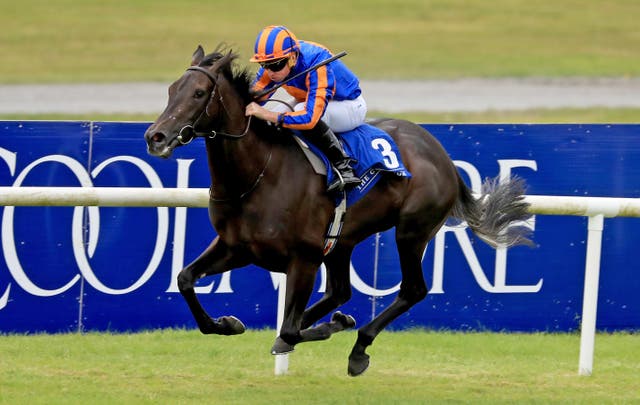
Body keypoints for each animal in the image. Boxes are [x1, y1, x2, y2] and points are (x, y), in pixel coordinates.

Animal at [144, 45, 528, 374]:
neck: (257, 175)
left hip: (412, 231)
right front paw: (227, 323)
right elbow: (185, 278)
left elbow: (289, 330)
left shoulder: (304, 257)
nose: (155, 137)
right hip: (342, 241)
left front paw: (329, 326)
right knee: (340, 291)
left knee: (411, 290)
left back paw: (358, 348)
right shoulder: (237, 247)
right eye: (171, 90)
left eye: (198, 93)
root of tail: (440, 153)